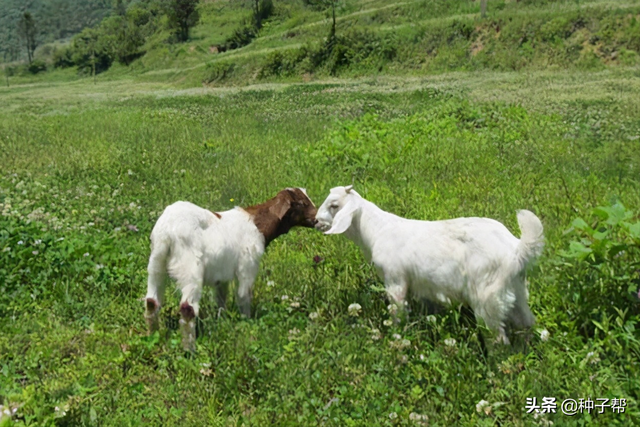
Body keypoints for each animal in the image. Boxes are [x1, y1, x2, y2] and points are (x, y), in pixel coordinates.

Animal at [144, 189, 316, 352]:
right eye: (302, 203)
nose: (317, 218)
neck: (257, 225)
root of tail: (167, 232)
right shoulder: (248, 265)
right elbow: (243, 295)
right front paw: (247, 322)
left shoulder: (221, 275)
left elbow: (221, 298)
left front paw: (222, 320)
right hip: (190, 267)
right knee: (187, 308)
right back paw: (190, 350)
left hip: (156, 263)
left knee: (151, 301)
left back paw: (154, 337)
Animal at [316, 186, 544, 342]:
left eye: (334, 205)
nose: (316, 221)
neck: (377, 230)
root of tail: (516, 249)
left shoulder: (395, 279)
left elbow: (398, 311)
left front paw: (396, 336)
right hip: (517, 289)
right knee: (526, 322)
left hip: (487, 296)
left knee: (497, 338)